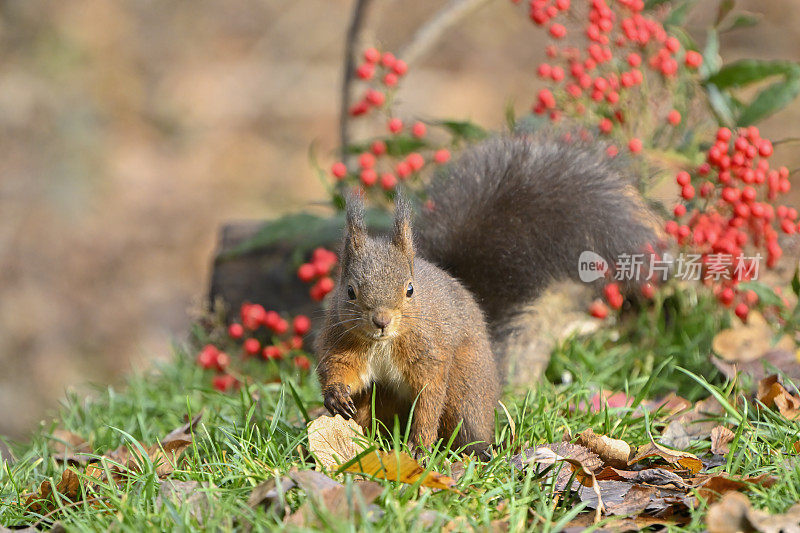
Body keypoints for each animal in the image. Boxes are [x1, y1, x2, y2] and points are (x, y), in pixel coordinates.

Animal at [316, 132, 660, 454]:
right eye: (350, 291)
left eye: (410, 289)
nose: (381, 321)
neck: (384, 344)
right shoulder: (342, 340)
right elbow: (339, 368)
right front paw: (335, 395)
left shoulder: (430, 354)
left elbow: (429, 400)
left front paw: (419, 447)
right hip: (379, 398)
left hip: (467, 388)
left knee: (464, 420)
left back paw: (476, 450)